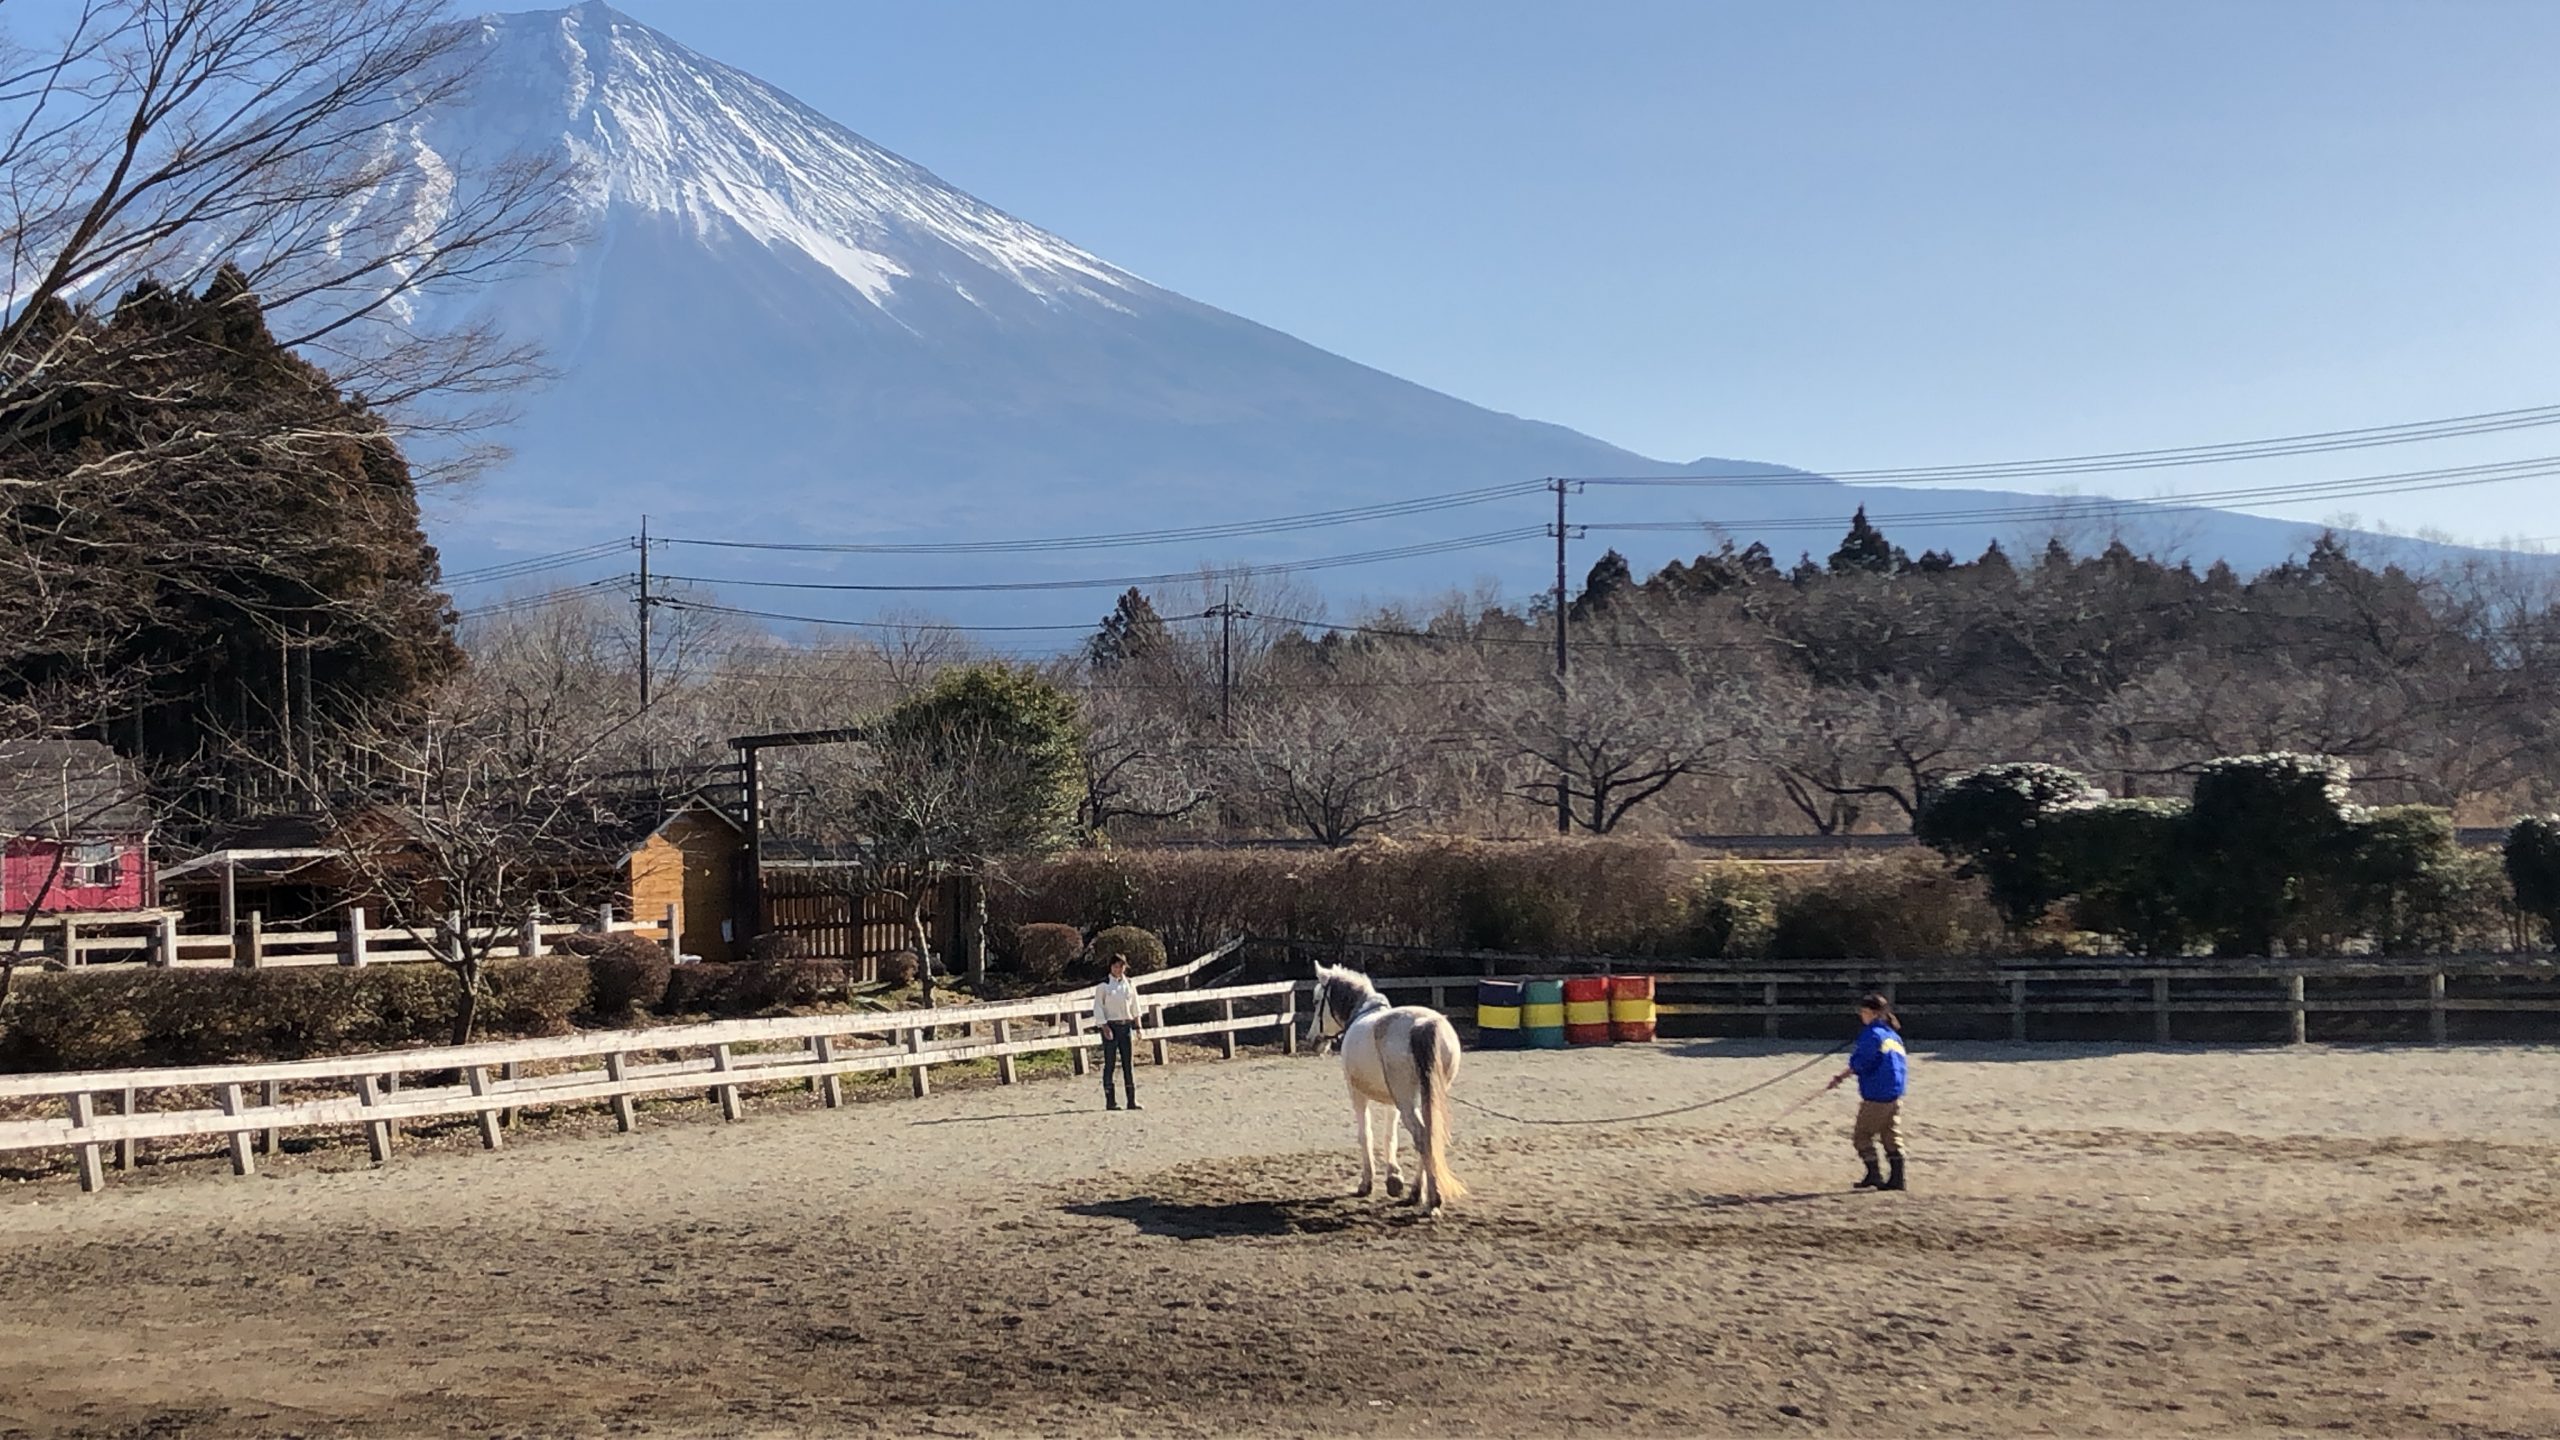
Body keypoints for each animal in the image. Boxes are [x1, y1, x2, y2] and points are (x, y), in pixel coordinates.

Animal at [1304, 962, 1468, 1214]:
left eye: (1316, 1001)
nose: (1313, 1039)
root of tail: (1423, 1024)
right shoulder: (1394, 1102)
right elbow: (1390, 1136)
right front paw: (1394, 1179)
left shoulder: (1357, 1093)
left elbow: (1366, 1134)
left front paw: (1366, 1184)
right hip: (1421, 1097)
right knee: (1428, 1135)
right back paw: (1416, 1193)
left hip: (1406, 1099)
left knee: (1422, 1136)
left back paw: (1432, 1200)